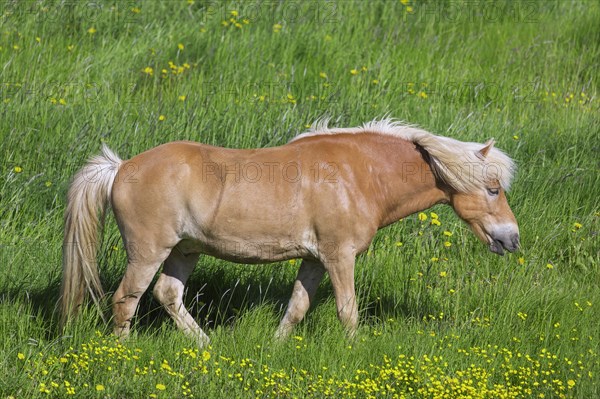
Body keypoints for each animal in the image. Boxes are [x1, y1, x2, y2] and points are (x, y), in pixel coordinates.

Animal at [62, 119, 520, 346]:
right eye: (493, 189)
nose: (511, 238)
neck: (358, 175)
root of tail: (120, 167)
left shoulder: (314, 259)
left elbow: (297, 307)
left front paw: (276, 347)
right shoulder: (339, 256)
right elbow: (348, 310)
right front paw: (354, 352)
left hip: (185, 250)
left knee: (167, 294)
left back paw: (206, 345)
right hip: (148, 251)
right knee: (126, 299)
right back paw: (124, 352)